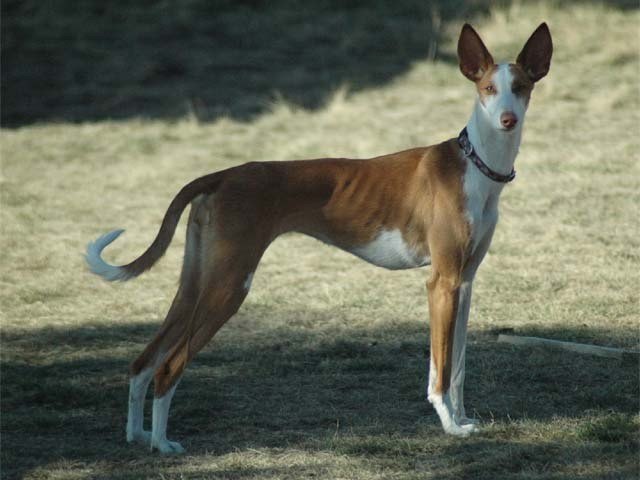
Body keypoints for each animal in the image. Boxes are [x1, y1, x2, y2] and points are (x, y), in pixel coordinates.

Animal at [87, 23, 552, 454]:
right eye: (488, 89)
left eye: (521, 88)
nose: (507, 120)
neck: (474, 165)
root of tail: (222, 176)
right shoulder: (442, 283)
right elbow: (438, 371)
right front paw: (450, 427)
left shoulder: (464, 282)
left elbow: (456, 368)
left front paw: (463, 419)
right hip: (228, 285)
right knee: (169, 366)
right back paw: (162, 444)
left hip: (195, 284)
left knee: (142, 362)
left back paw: (138, 434)